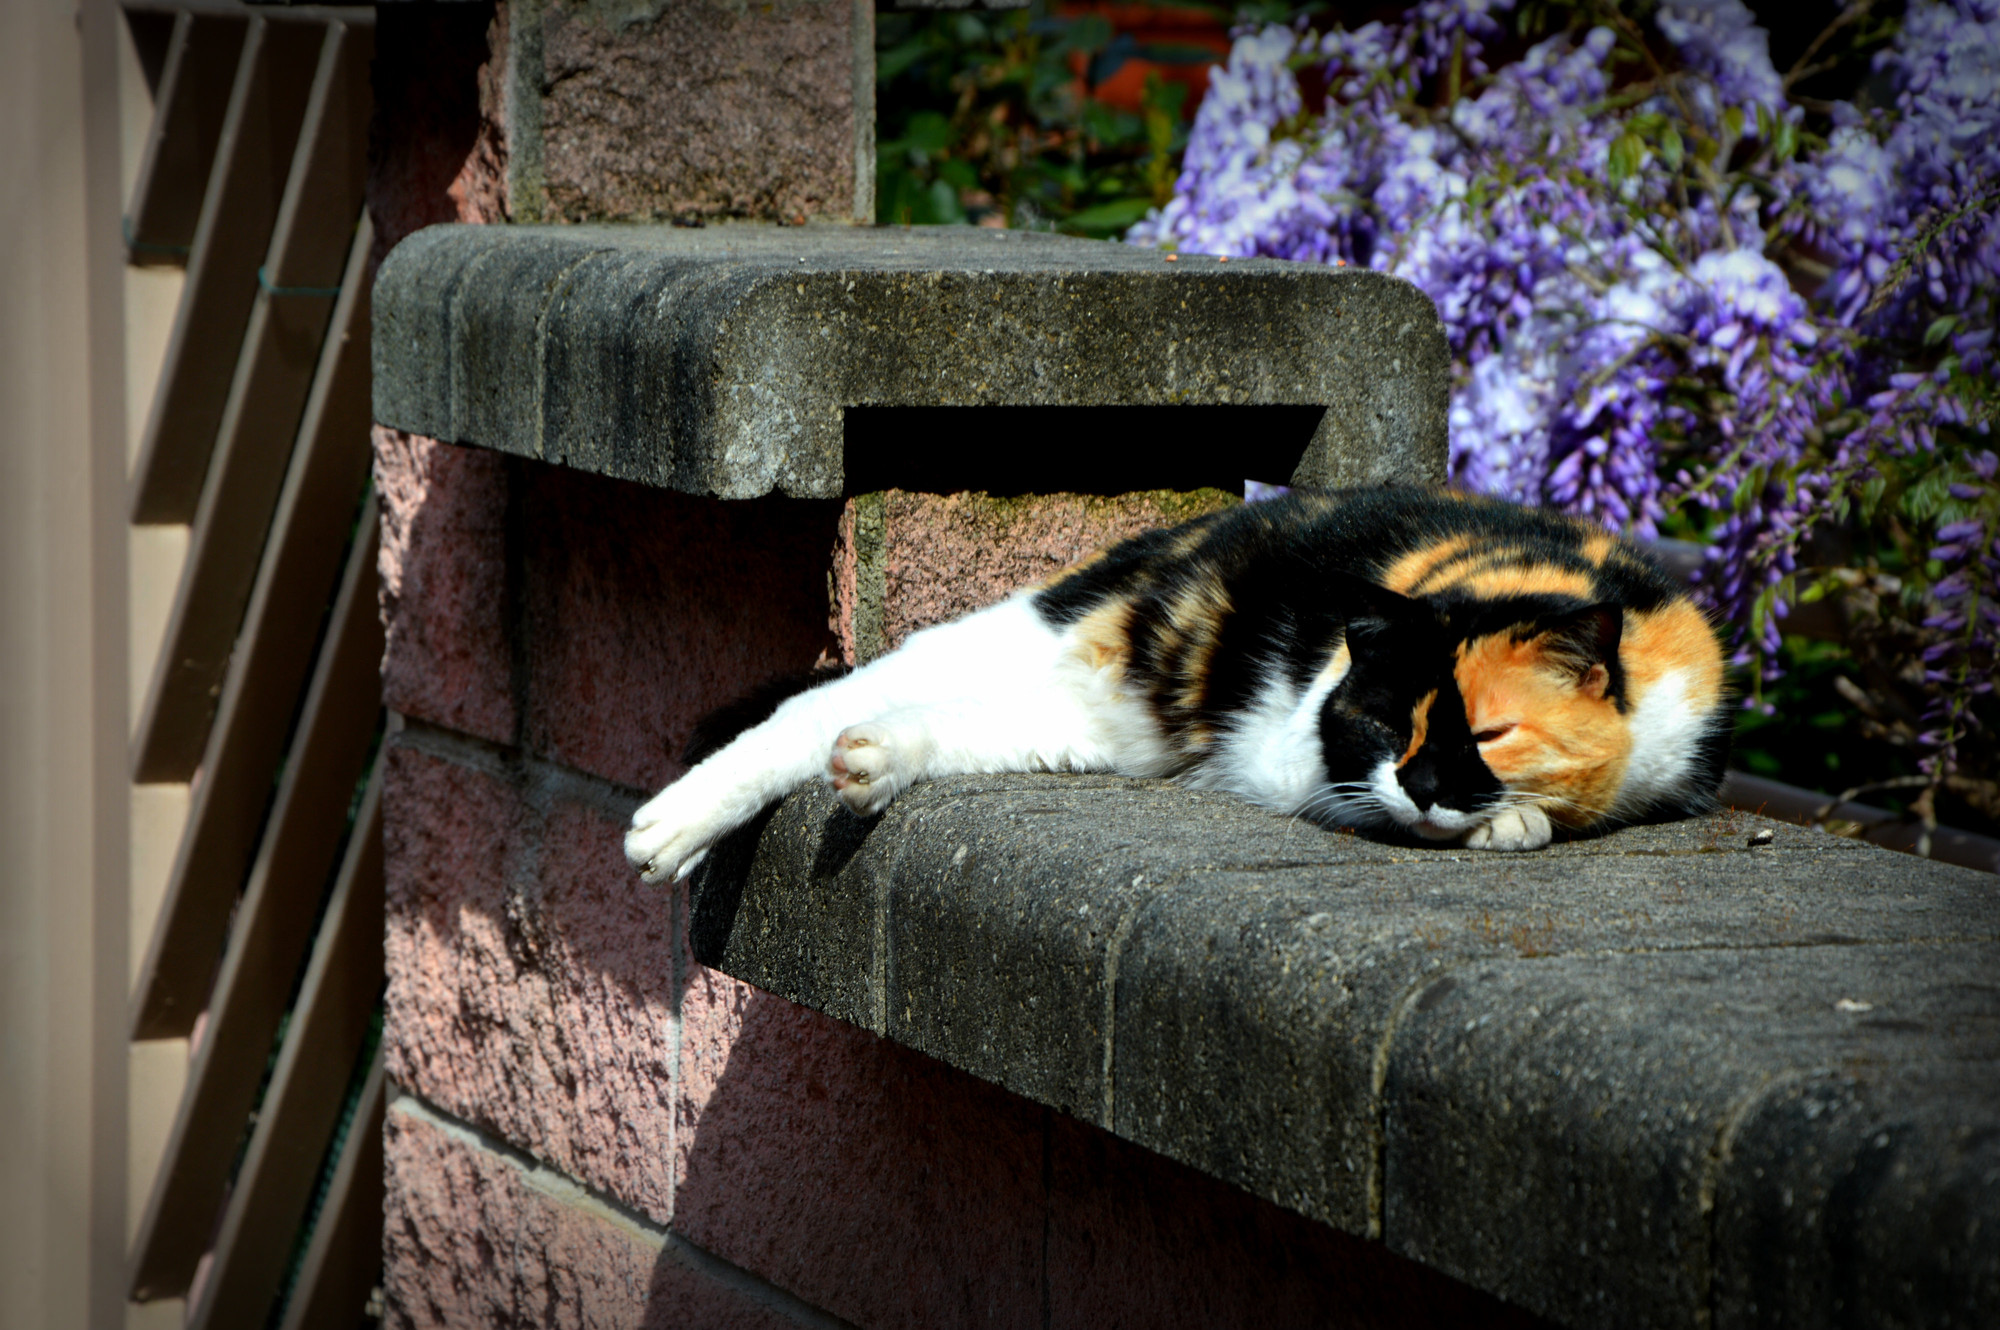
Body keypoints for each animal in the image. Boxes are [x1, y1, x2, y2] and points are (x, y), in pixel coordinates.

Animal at [616, 482, 1728, 876]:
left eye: (1488, 733)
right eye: (1380, 723)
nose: (1417, 785)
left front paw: (1515, 817)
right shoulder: (1294, 757)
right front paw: (1506, 821)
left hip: (1088, 724)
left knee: (921, 721)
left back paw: (877, 759)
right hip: (1022, 635)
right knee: (815, 705)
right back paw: (673, 824)